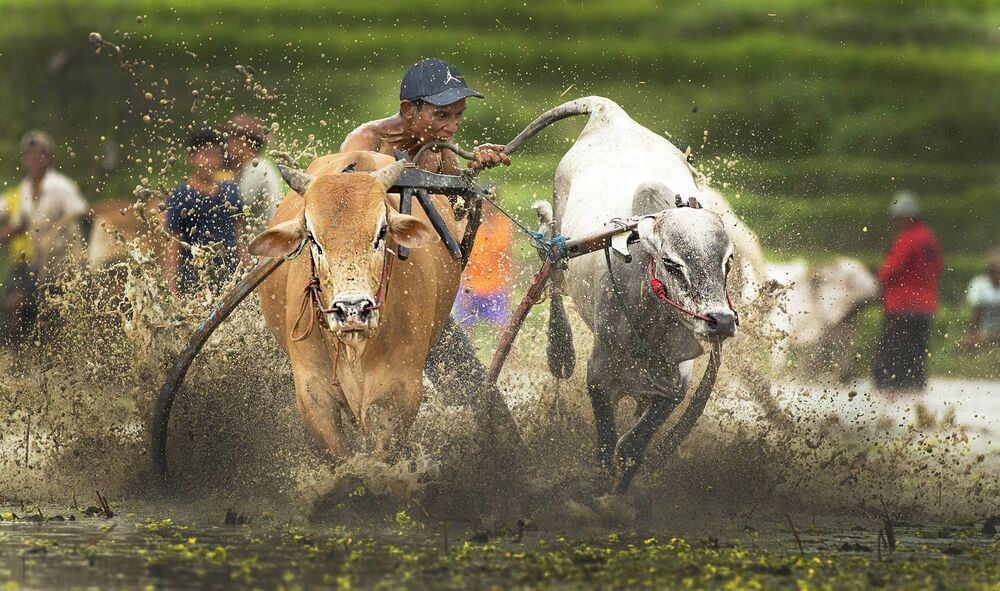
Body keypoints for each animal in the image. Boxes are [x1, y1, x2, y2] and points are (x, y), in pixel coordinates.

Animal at [521, 96, 744, 493]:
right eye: (671, 263)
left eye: (727, 261)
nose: (720, 321)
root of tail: (608, 112)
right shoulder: (598, 374)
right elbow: (607, 444)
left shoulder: (675, 384)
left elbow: (632, 448)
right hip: (560, 249)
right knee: (552, 274)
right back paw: (560, 350)